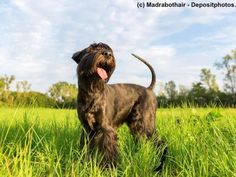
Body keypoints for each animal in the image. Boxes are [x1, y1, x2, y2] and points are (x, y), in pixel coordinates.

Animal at [72, 42, 166, 170]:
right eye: (91, 48)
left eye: (108, 50)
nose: (107, 54)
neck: (92, 91)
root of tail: (149, 89)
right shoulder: (87, 129)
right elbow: (86, 148)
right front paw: (84, 164)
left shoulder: (106, 129)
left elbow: (108, 151)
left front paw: (108, 168)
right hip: (136, 126)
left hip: (146, 123)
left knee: (160, 143)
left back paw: (160, 165)